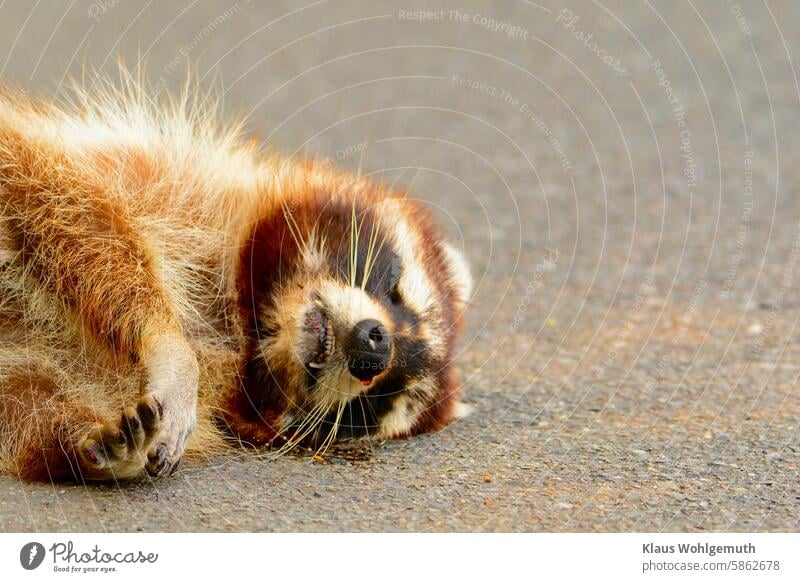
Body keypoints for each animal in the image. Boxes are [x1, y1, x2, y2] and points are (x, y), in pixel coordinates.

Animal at [0, 76, 472, 484]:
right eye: (396, 290)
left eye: (379, 400)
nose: (375, 349)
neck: (248, 324)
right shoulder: (159, 176)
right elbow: (62, 197)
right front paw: (170, 346)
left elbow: (24, 405)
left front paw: (82, 446)